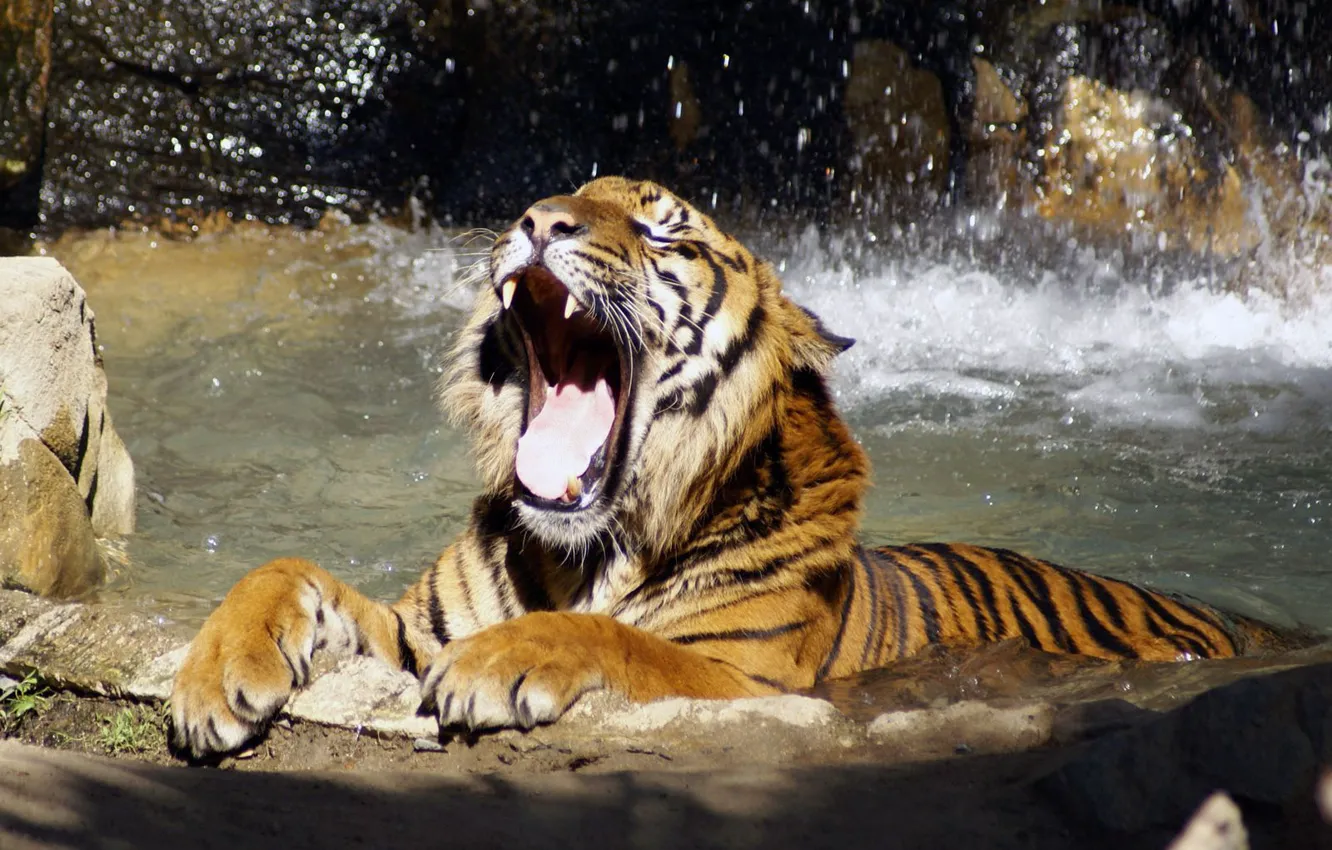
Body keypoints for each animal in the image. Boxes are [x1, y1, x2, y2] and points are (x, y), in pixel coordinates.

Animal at [169, 176, 1290, 759]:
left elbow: (617, 639)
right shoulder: (414, 630)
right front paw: (213, 679)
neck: (586, 551)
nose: (537, 220)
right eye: (561, 194)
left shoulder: (745, 676)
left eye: (660, 226)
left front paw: (501, 665)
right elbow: (281, 571)